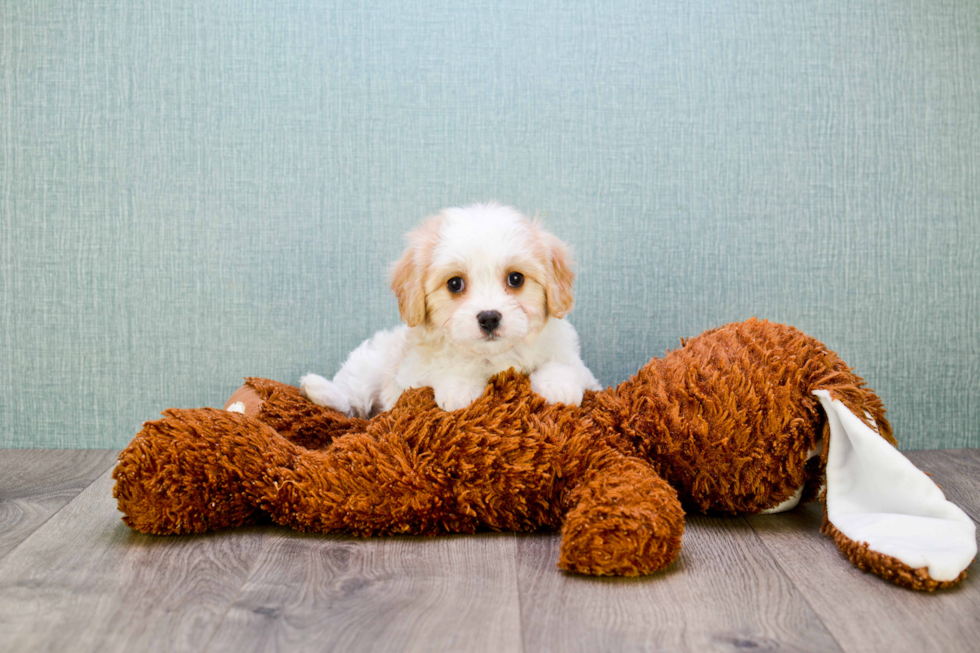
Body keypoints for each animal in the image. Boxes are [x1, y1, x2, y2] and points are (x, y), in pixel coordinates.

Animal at [302, 204, 600, 416]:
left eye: (516, 279)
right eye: (455, 284)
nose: (489, 318)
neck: (493, 358)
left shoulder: (578, 365)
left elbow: (563, 364)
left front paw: (557, 387)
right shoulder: (411, 374)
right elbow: (446, 365)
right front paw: (460, 389)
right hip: (369, 365)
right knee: (351, 403)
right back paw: (317, 388)